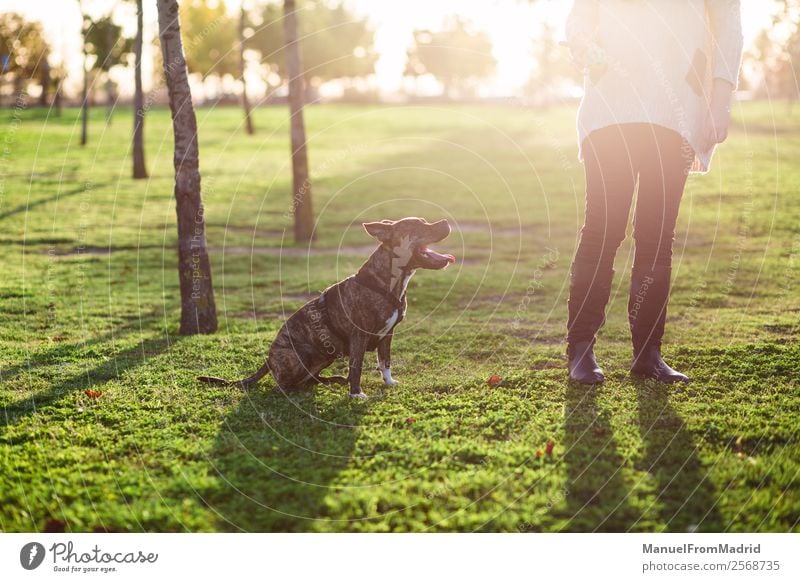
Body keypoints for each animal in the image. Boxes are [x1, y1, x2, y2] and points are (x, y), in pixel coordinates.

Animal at [197, 219, 454, 402]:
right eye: (419, 225)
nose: (445, 221)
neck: (386, 283)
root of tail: (268, 360)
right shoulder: (358, 337)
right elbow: (357, 367)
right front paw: (356, 394)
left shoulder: (387, 335)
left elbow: (385, 361)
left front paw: (389, 383)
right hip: (303, 354)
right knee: (283, 385)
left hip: (325, 355)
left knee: (310, 378)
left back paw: (331, 380)